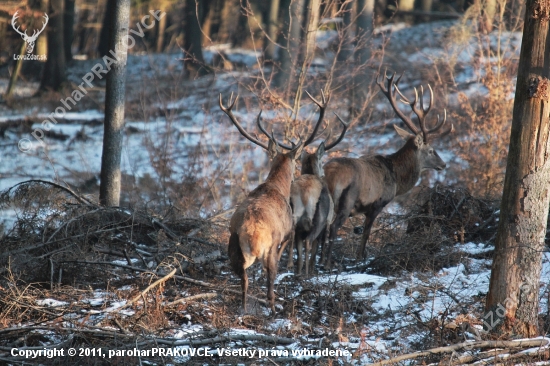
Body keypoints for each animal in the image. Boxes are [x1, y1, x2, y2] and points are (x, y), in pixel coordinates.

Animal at [220, 93, 326, 314]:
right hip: (270, 245)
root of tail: (250, 234)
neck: (276, 187)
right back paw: (273, 307)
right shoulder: (287, 232)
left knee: (244, 280)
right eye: (295, 163)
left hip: (232, 245)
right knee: (270, 277)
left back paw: (244, 308)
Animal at [288, 92, 350, 278]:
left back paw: (298, 272)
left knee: (296, 244)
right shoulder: (327, 220)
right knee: (309, 242)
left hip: (294, 220)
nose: (323, 173)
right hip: (318, 219)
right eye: (322, 161)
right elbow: (319, 245)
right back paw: (308, 273)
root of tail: (303, 195)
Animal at [326, 73, 450, 264]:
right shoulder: (377, 204)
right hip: (345, 201)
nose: (443, 164)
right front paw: (360, 258)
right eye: (431, 150)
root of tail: (329, 175)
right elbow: (366, 234)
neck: (396, 179)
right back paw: (325, 263)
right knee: (331, 228)